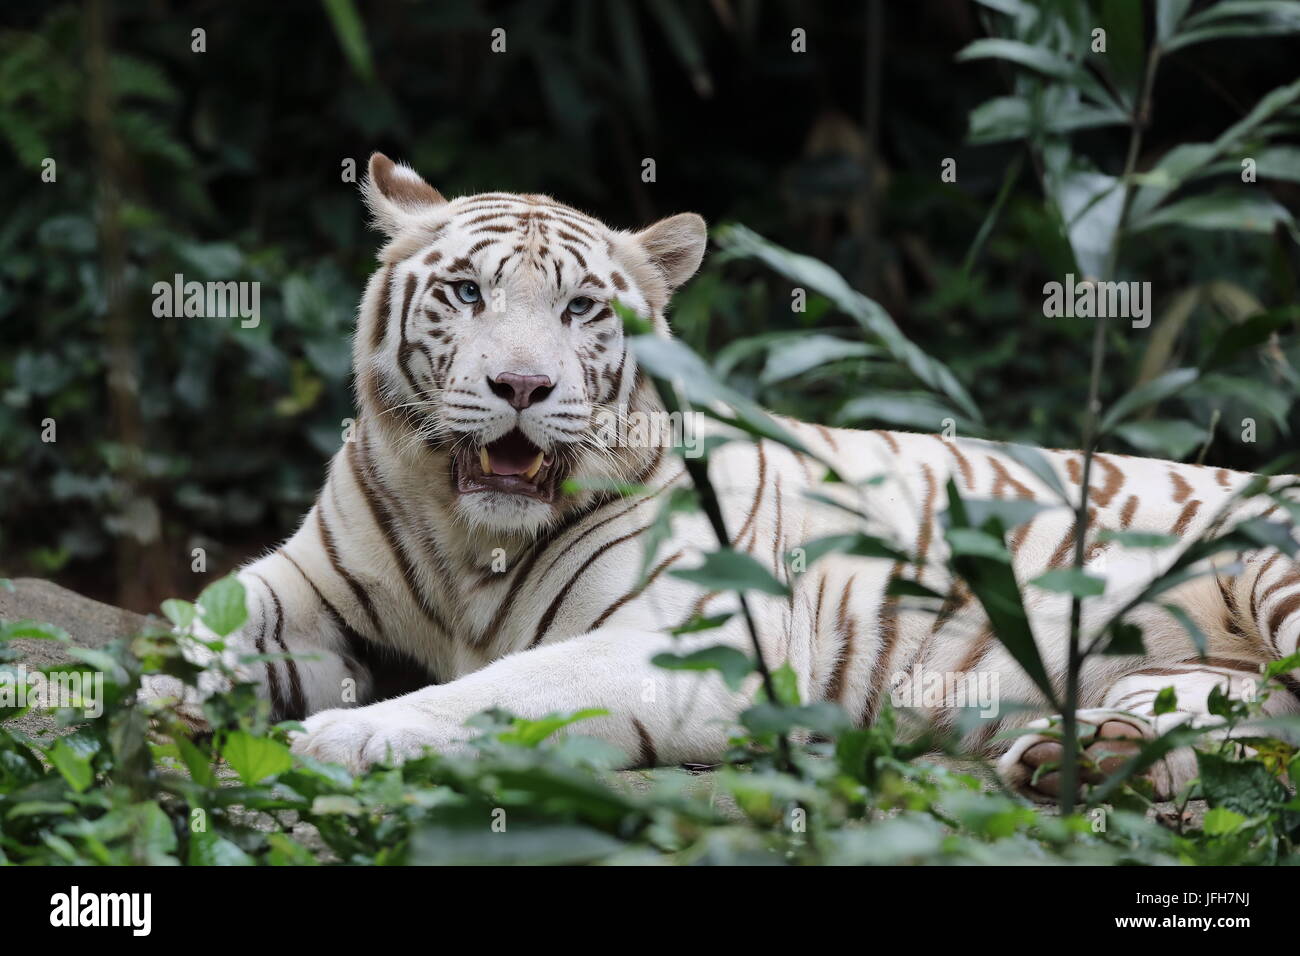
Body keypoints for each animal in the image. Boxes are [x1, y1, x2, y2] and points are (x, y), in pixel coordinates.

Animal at [143, 152, 1300, 802]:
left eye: (580, 309)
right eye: (467, 293)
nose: (520, 385)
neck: (469, 537)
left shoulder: (688, 643)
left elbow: (505, 688)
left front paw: (350, 731)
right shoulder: (306, 592)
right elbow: (189, 627)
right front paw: (136, 696)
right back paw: (1086, 756)